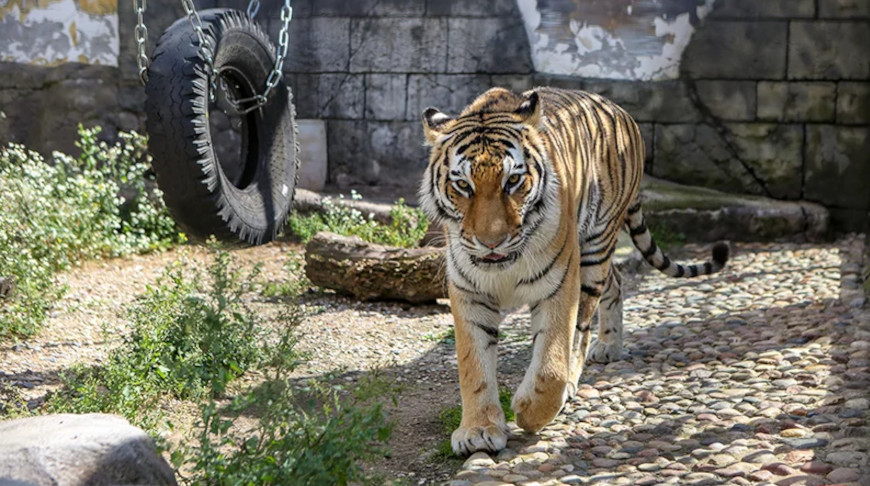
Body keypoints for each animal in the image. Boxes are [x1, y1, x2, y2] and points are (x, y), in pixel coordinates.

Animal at [418, 87, 732, 456]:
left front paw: (529, 411)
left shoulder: (558, 283)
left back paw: (582, 370)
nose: (491, 242)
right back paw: (610, 346)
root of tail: (620, 109)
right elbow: (473, 364)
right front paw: (478, 431)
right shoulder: (470, 291)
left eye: (513, 181)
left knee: (582, 327)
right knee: (617, 281)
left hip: (594, 249)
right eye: (464, 186)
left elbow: (552, 362)